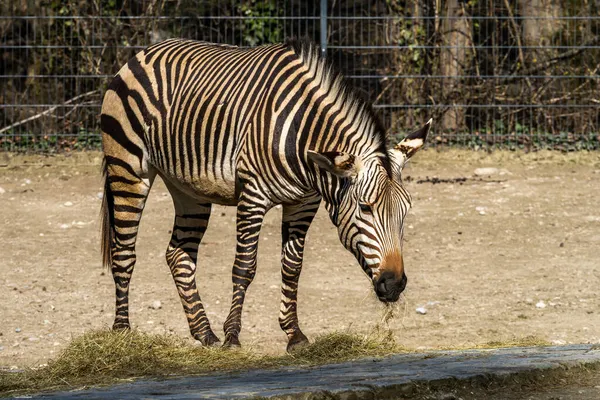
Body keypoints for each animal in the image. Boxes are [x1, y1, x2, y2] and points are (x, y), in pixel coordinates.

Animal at [102, 37, 432, 350]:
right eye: (365, 208)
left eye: (405, 211)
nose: (394, 284)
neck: (303, 139)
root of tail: (143, 52)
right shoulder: (253, 196)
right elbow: (245, 267)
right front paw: (232, 336)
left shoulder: (304, 203)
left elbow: (292, 268)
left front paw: (294, 334)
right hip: (128, 168)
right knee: (124, 250)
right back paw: (123, 331)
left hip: (190, 189)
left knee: (178, 254)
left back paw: (204, 333)